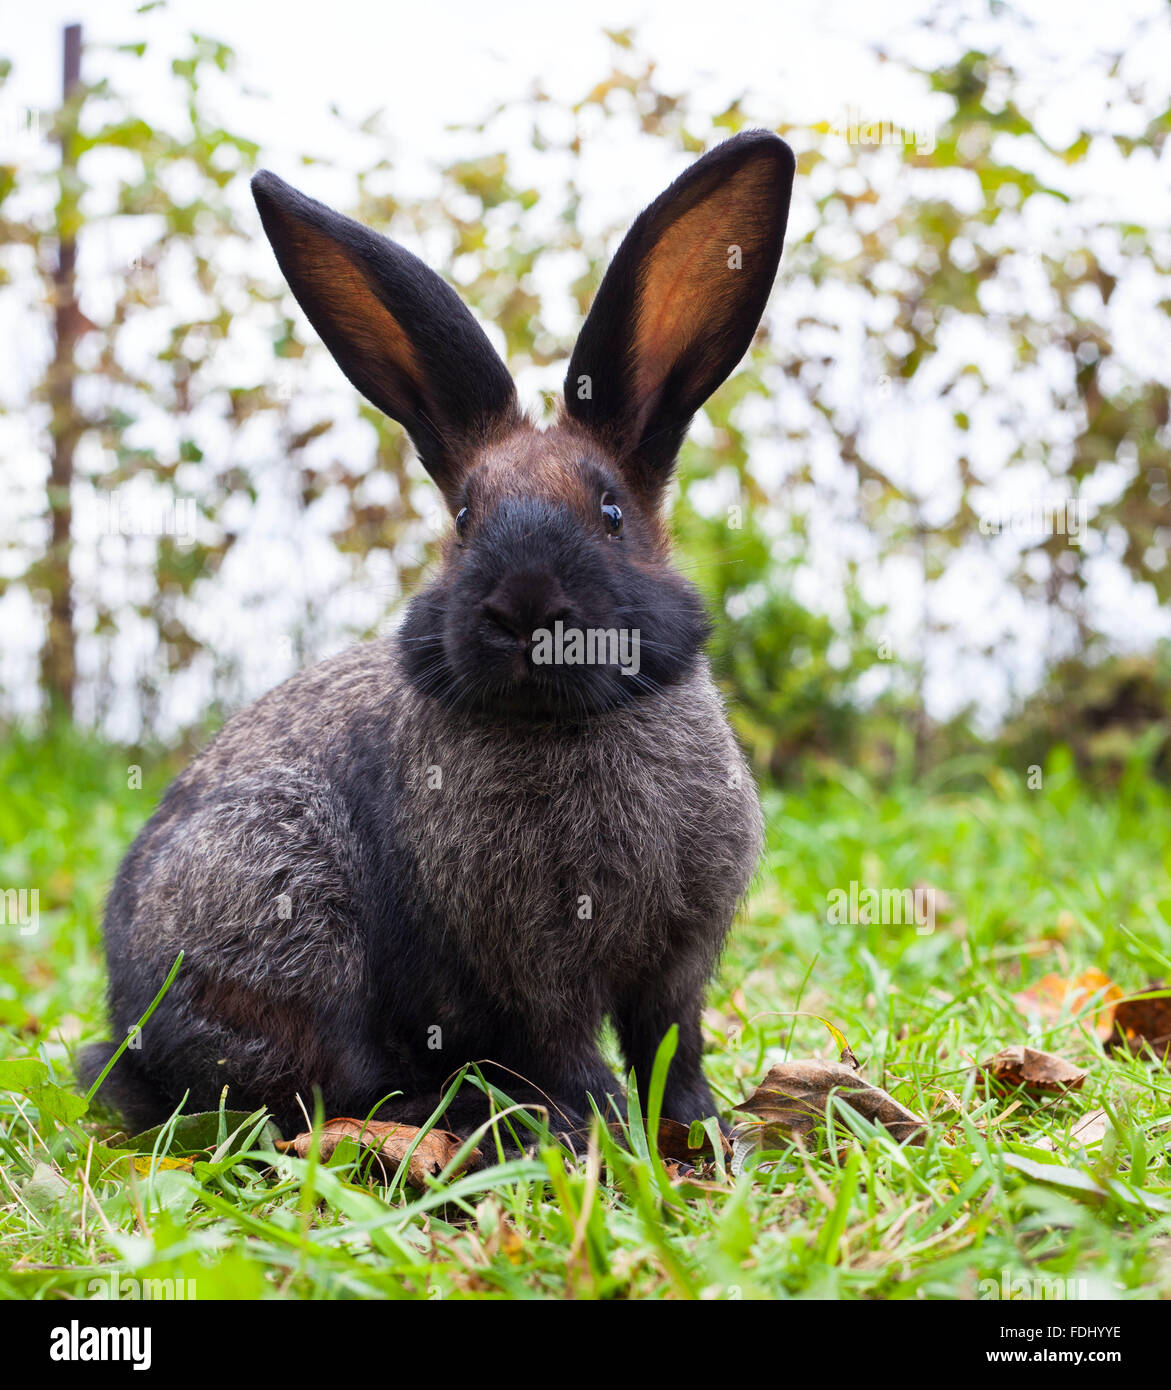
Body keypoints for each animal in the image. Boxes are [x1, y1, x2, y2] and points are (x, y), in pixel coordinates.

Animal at [79, 127, 795, 1139]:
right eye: (464, 517)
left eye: (610, 512)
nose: (525, 606)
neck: (562, 720)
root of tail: (128, 1038)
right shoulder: (530, 970)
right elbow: (571, 1047)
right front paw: (605, 1129)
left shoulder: (677, 961)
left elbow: (672, 1041)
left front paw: (694, 1128)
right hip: (278, 905)